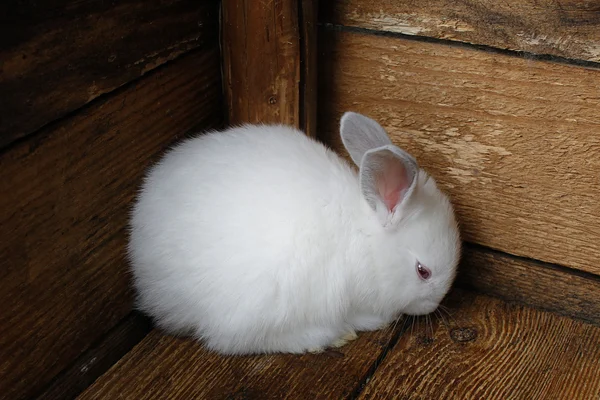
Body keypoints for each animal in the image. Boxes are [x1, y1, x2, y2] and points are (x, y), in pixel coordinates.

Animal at [129, 111, 462, 354]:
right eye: (423, 271)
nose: (433, 305)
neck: (365, 243)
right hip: (261, 300)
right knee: (236, 340)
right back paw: (328, 335)